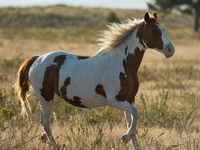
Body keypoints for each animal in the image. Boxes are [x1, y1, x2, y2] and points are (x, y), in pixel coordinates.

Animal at [16, 12, 175, 149]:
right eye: (154, 31)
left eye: (164, 29)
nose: (170, 50)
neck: (121, 63)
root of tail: (37, 58)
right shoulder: (114, 100)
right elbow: (136, 115)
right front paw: (125, 137)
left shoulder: (130, 99)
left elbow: (132, 121)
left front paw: (133, 143)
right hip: (45, 98)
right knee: (45, 122)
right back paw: (56, 145)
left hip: (54, 98)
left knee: (44, 122)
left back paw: (44, 138)